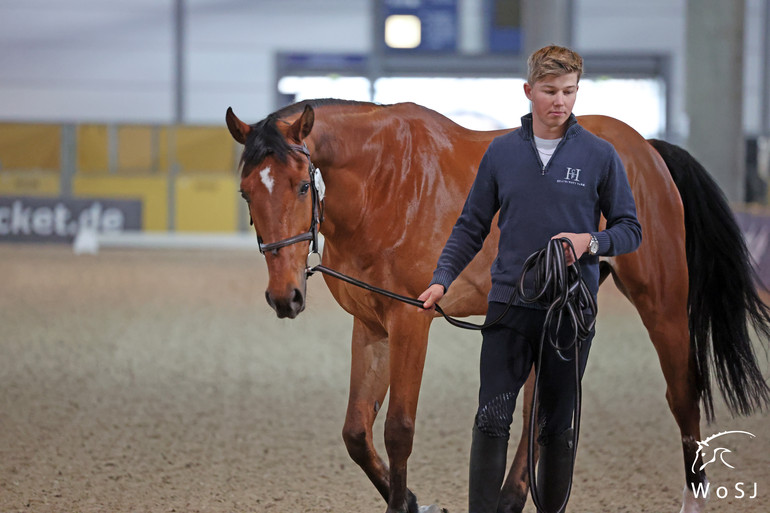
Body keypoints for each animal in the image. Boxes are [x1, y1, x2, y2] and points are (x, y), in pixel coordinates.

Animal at [225, 99, 764, 512]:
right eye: (246, 192)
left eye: (301, 185)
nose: (285, 297)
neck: (383, 181)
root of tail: (647, 149)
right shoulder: (371, 325)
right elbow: (357, 432)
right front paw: (416, 501)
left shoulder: (411, 319)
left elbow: (399, 429)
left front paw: (408, 502)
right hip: (553, 315)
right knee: (537, 407)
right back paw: (510, 497)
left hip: (663, 305)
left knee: (682, 393)